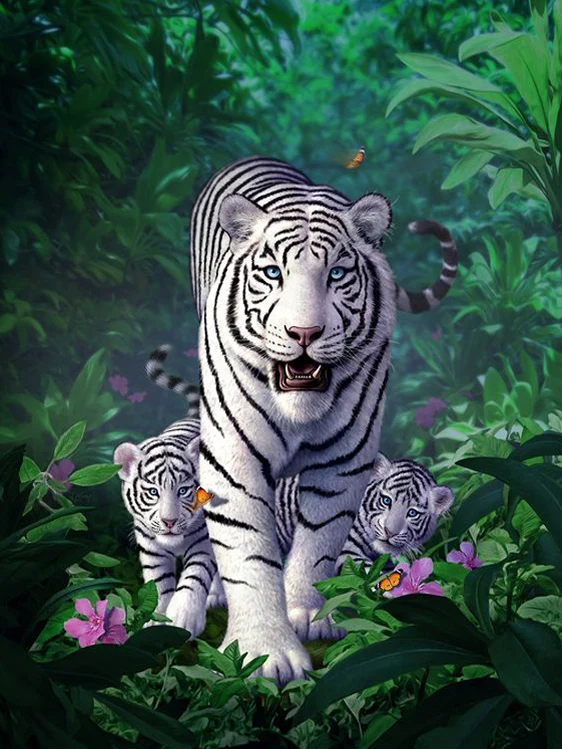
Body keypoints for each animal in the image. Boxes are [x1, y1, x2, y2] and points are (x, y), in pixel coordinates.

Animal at [113, 419, 225, 636]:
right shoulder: (152, 550)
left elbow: (195, 575)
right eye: (153, 492)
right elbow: (159, 584)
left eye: (183, 491)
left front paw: (184, 618)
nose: (169, 521)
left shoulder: (203, 543)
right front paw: (155, 621)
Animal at [189, 155, 458, 683]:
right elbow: (248, 555)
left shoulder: (344, 463)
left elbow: (318, 545)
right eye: (272, 272)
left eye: (336, 273)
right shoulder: (232, 460)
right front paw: (265, 653)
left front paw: (311, 617)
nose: (304, 332)